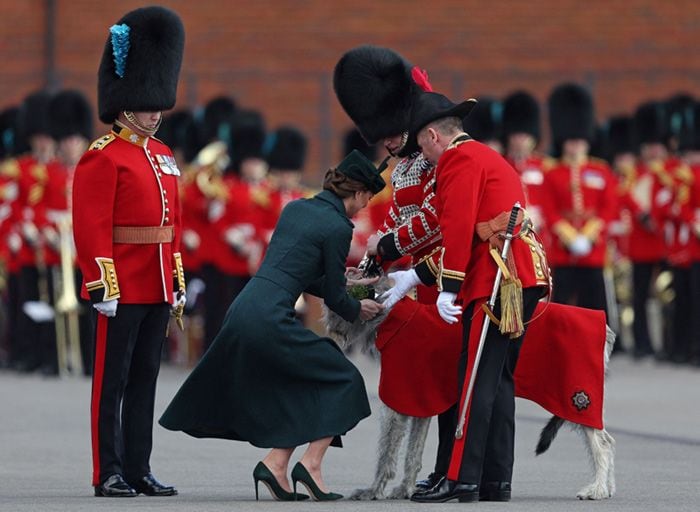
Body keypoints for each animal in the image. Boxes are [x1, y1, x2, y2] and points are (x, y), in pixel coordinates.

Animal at [326, 274, 616, 502]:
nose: (329, 334)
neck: (394, 317)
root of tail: (607, 328)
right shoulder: (419, 398)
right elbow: (413, 452)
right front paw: (406, 488)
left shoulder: (398, 397)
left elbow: (387, 451)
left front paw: (373, 490)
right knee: (607, 439)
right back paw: (608, 487)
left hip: (577, 395)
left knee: (601, 443)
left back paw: (597, 489)